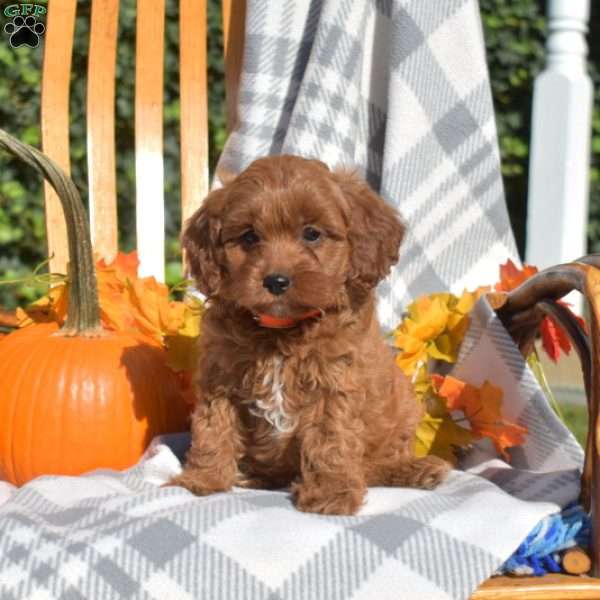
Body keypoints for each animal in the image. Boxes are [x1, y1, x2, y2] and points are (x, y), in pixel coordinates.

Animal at [170, 156, 450, 516]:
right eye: (249, 237)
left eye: (312, 234)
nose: (276, 281)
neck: (282, 329)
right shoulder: (220, 379)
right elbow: (213, 428)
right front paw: (203, 480)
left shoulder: (335, 385)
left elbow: (330, 441)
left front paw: (331, 494)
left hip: (404, 411)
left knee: (374, 465)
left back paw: (418, 469)